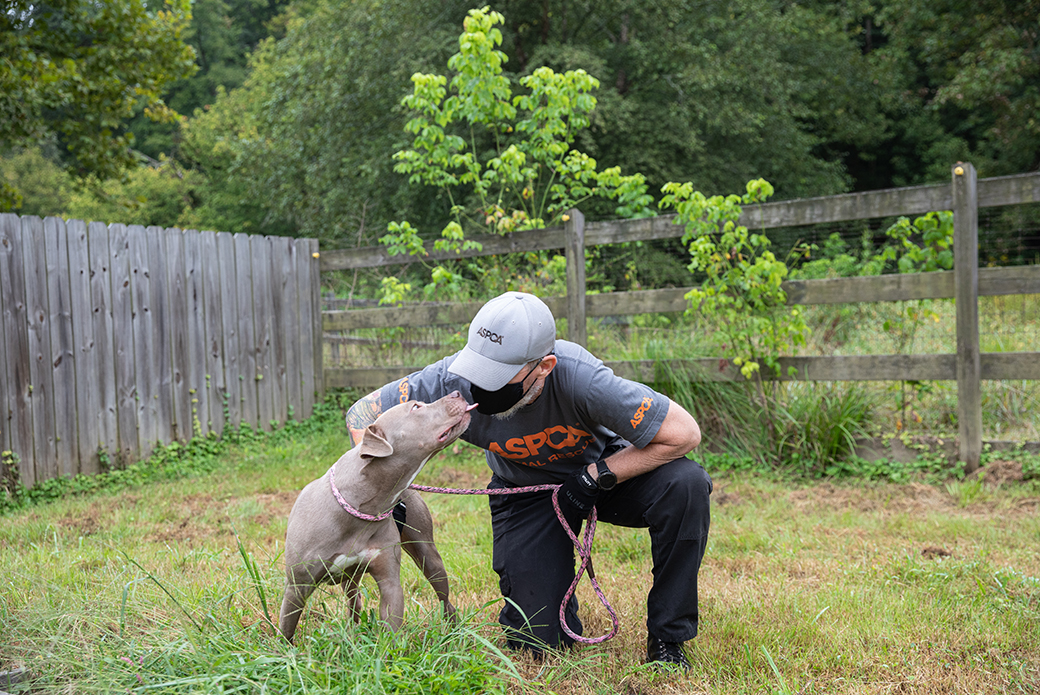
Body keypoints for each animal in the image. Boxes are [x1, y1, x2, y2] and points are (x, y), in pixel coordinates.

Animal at [276, 391, 472, 640]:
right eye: (416, 407)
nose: (457, 392)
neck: (362, 507)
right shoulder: (296, 587)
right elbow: (287, 628)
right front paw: (284, 650)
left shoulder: (390, 582)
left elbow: (391, 627)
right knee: (354, 601)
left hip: (428, 555)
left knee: (444, 597)